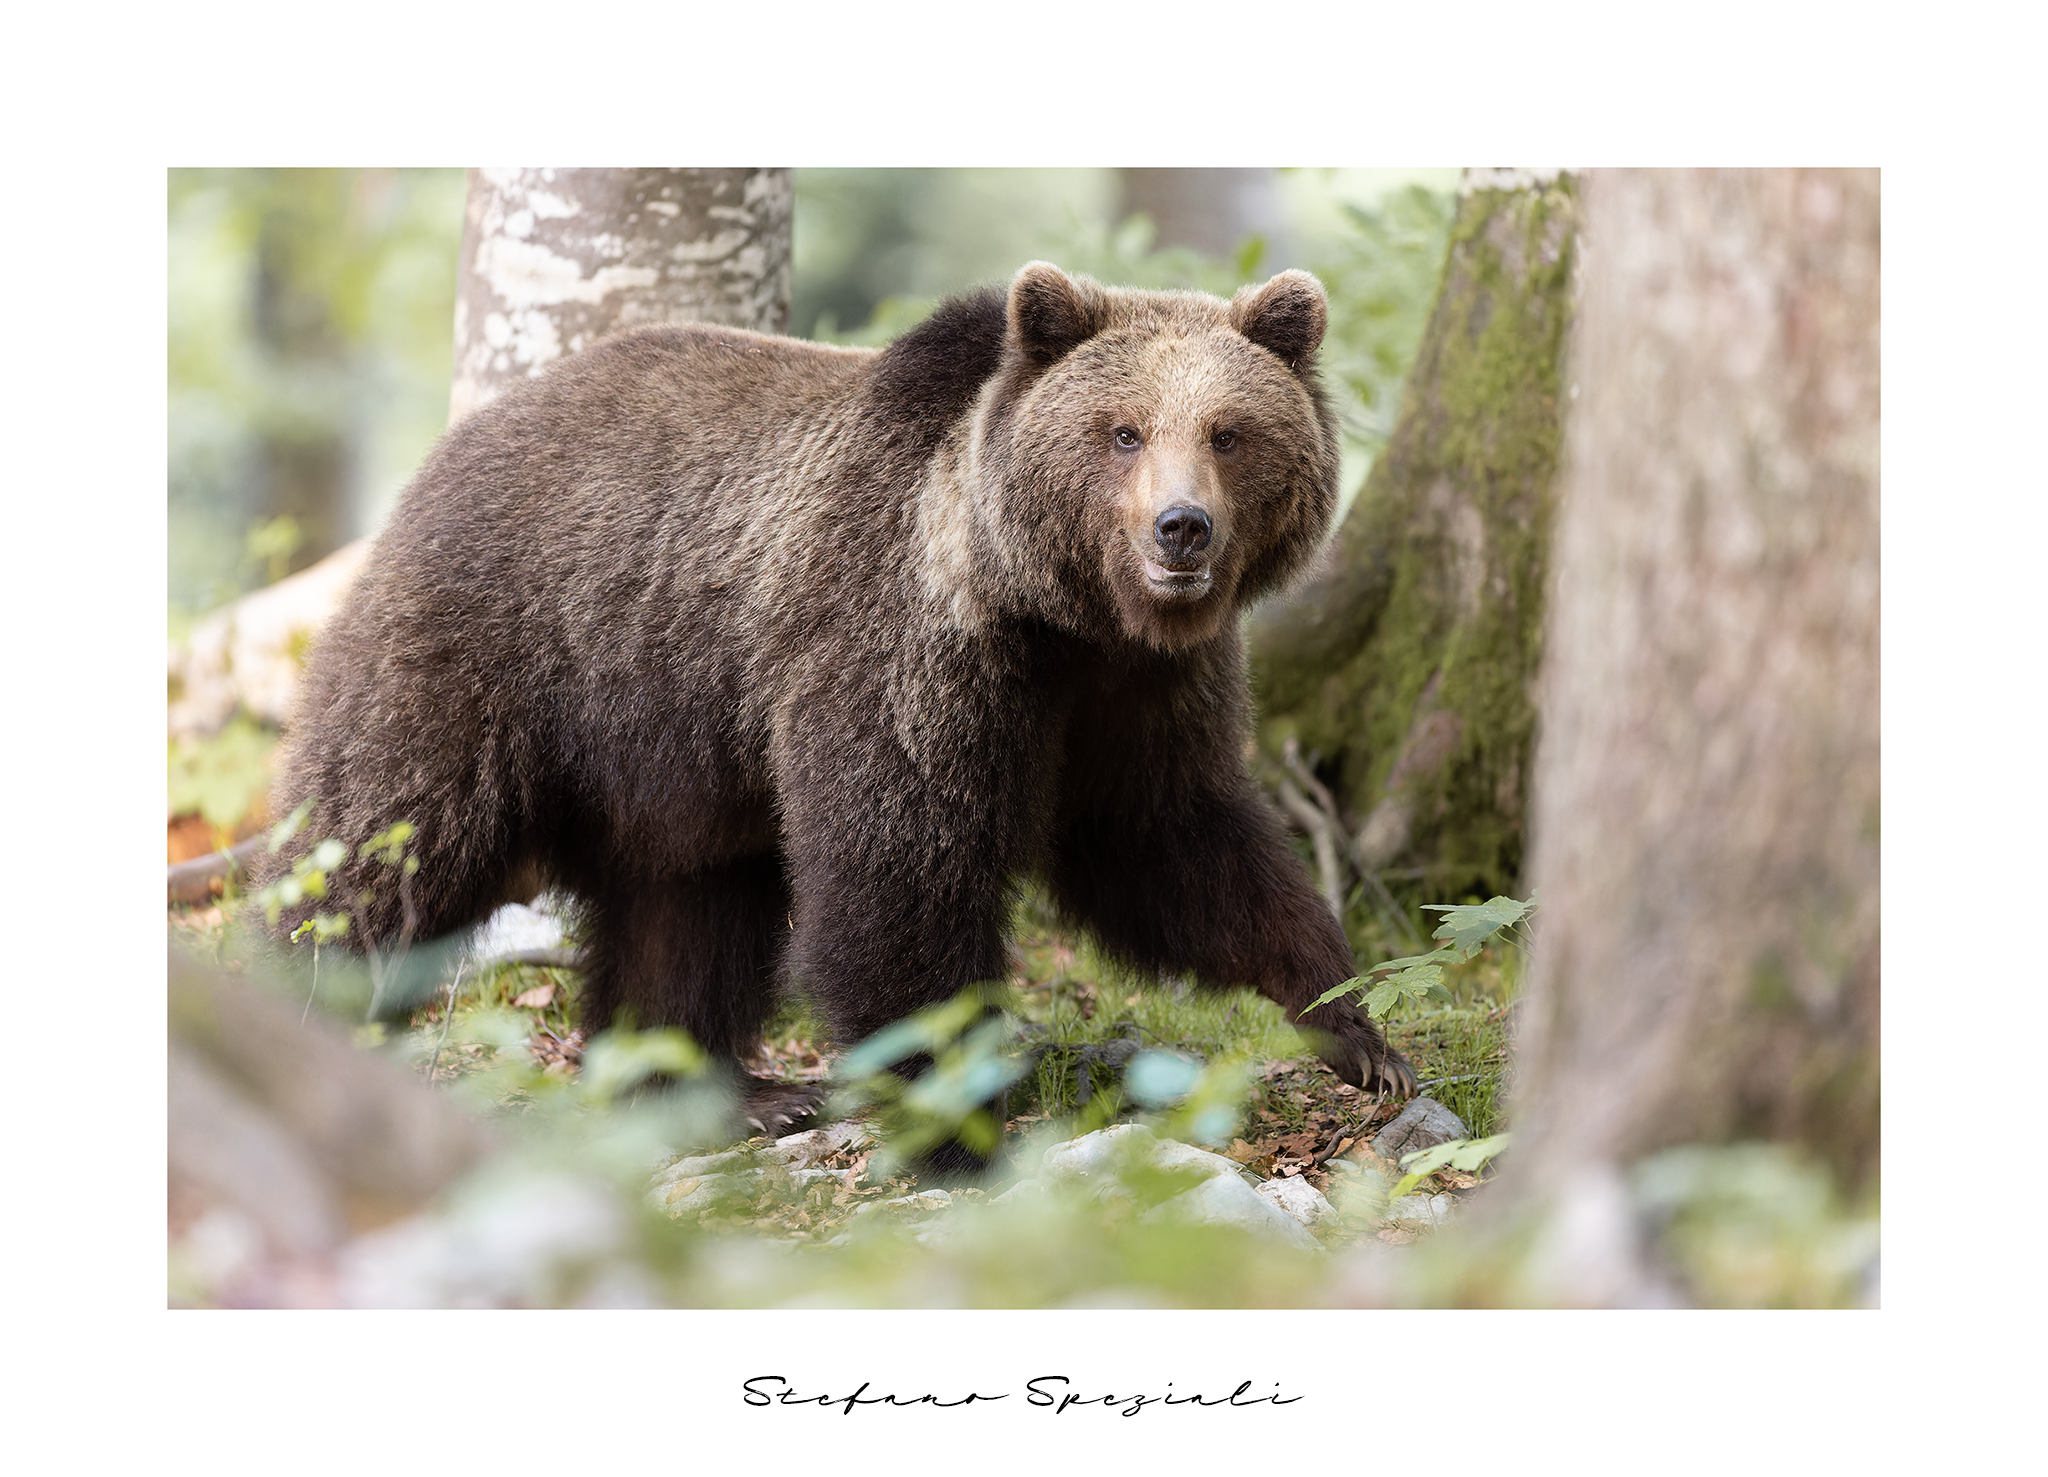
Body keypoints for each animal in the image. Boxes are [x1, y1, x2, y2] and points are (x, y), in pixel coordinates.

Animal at [260, 260, 1418, 1152]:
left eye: (1228, 431)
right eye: (1122, 431)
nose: (1181, 529)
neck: (1050, 609)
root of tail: (459, 439)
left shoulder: (1135, 692)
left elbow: (1170, 837)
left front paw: (1356, 1028)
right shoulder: (902, 648)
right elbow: (897, 870)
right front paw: (958, 1105)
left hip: (682, 766)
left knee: (689, 911)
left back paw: (724, 1086)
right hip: (495, 650)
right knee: (380, 847)